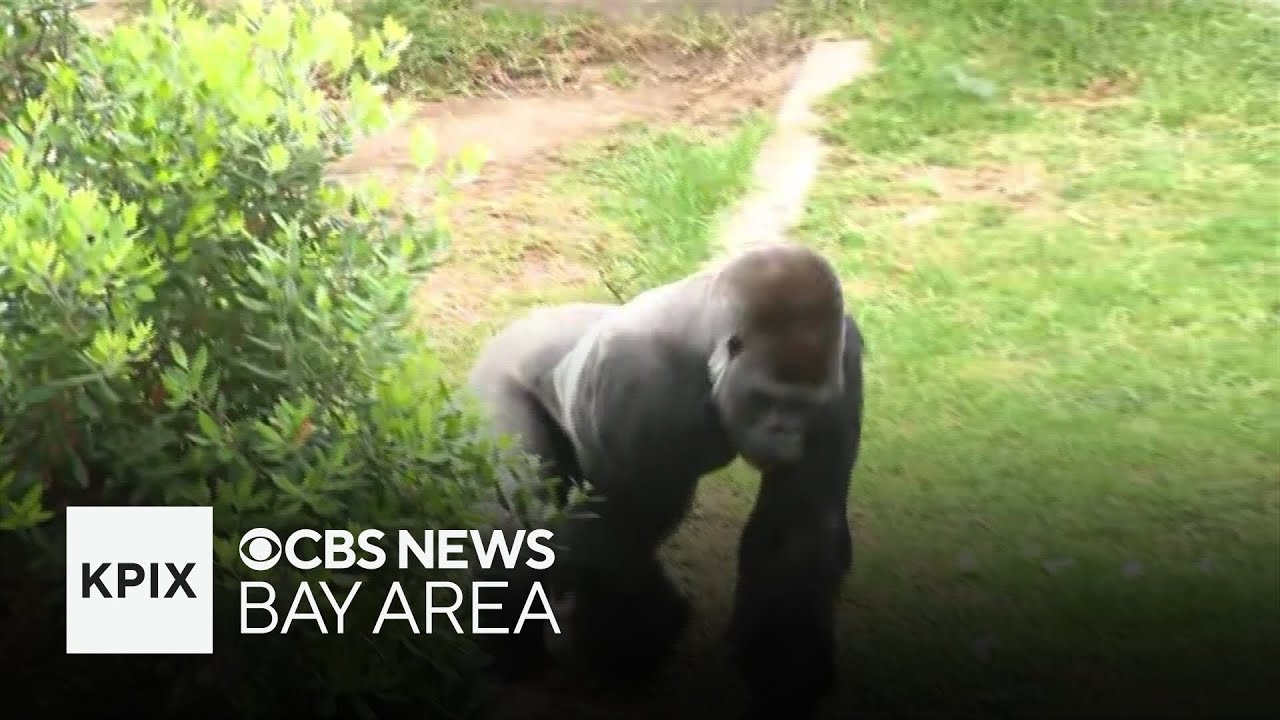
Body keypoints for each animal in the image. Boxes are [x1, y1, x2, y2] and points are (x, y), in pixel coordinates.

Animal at [465, 242, 864, 719]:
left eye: (805, 406)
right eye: (767, 399)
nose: (786, 436)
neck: (707, 338)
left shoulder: (845, 356)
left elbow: (798, 528)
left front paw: (786, 672)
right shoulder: (637, 373)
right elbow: (616, 527)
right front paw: (641, 635)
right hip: (494, 383)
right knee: (518, 517)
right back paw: (512, 652)